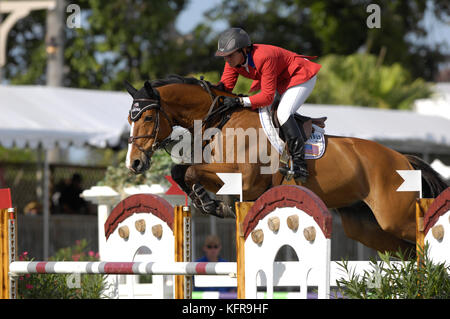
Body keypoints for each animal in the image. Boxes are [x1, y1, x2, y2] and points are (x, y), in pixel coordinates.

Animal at [124, 74, 450, 256]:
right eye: (131, 117)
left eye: (148, 117)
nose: (135, 163)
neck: (222, 118)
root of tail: (403, 158)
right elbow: (181, 170)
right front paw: (209, 203)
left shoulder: (244, 179)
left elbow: (190, 170)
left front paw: (211, 203)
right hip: (368, 228)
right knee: (409, 252)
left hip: (395, 217)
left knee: (424, 237)